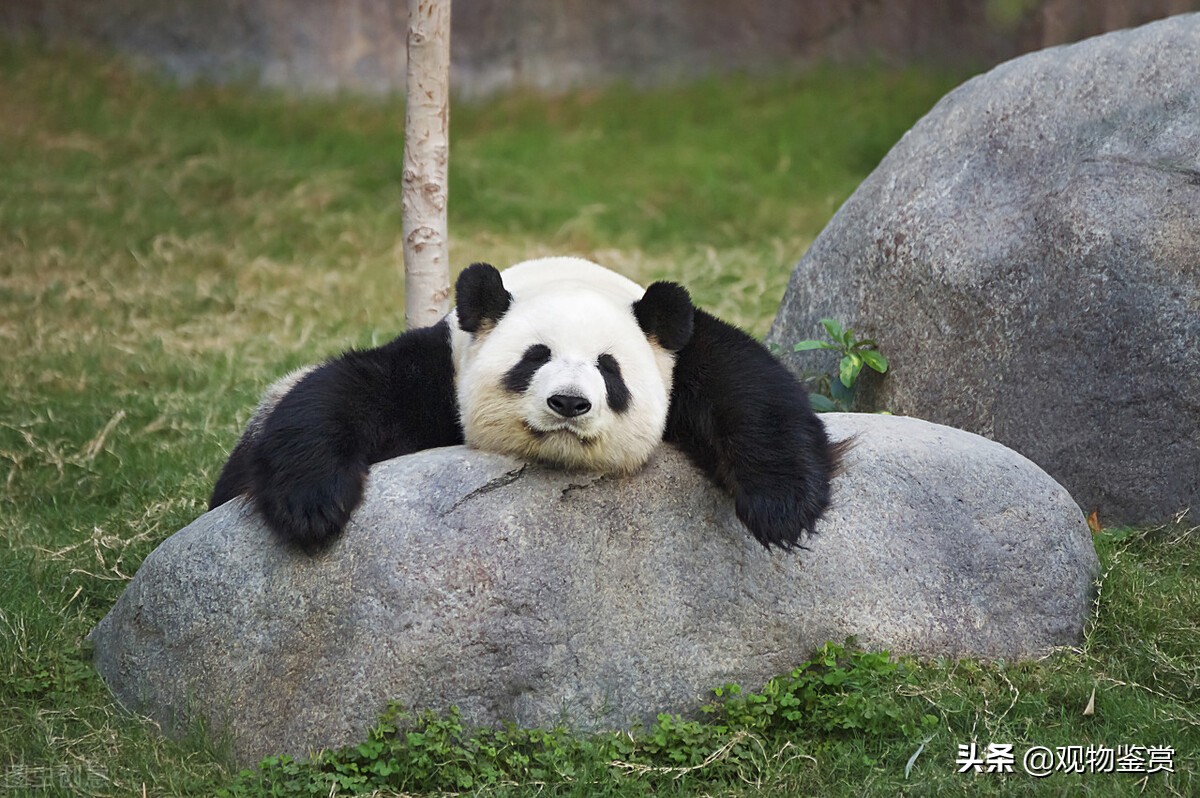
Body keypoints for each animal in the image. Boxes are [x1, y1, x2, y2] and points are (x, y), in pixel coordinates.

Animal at [208, 258, 844, 552]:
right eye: (534, 357)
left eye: (609, 369)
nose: (568, 403)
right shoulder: (440, 368)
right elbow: (344, 391)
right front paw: (313, 505)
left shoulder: (684, 355)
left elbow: (752, 389)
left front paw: (780, 507)